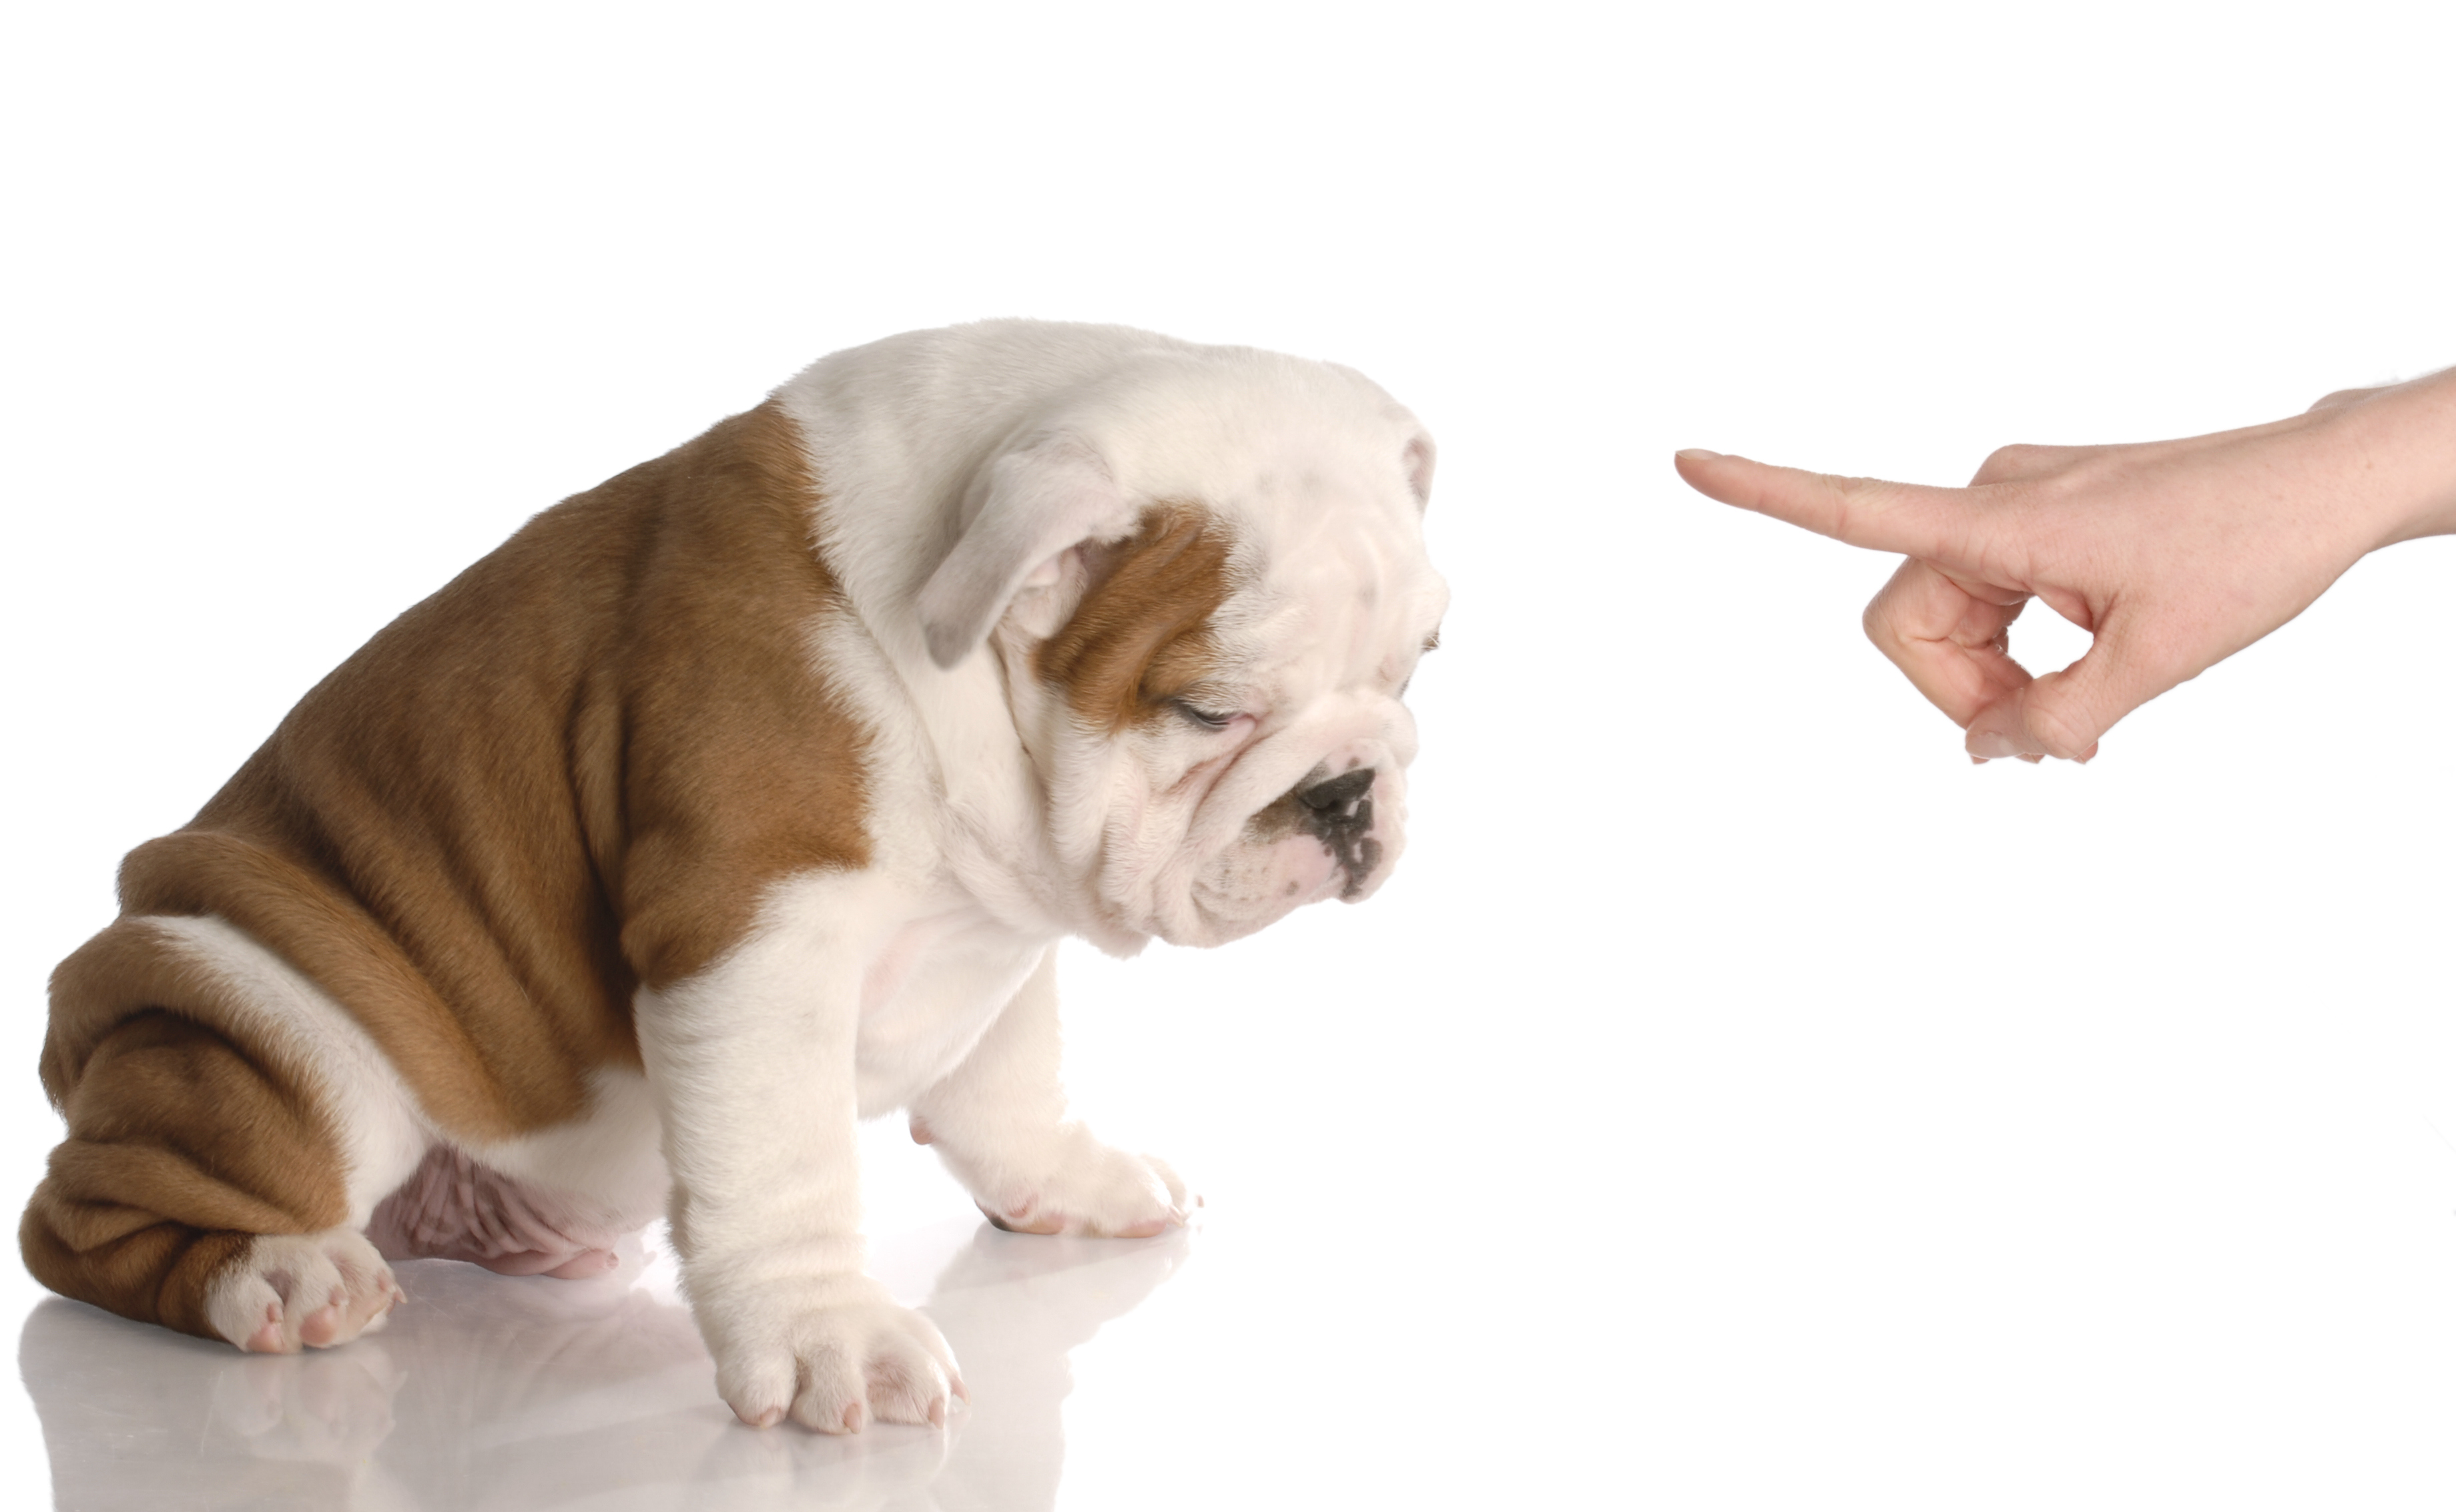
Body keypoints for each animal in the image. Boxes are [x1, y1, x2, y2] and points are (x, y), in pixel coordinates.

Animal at [23, 319, 1434, 1433]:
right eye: (1207, 711)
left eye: (1417, 664)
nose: (1347, 791)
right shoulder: (759, 927)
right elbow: (783, 1157)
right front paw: (828, 1337)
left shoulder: (1000, 918)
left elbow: (1007, 1077)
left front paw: (1068, 1183)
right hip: (275, 1026)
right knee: (81, 1221)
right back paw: (277, 1275)